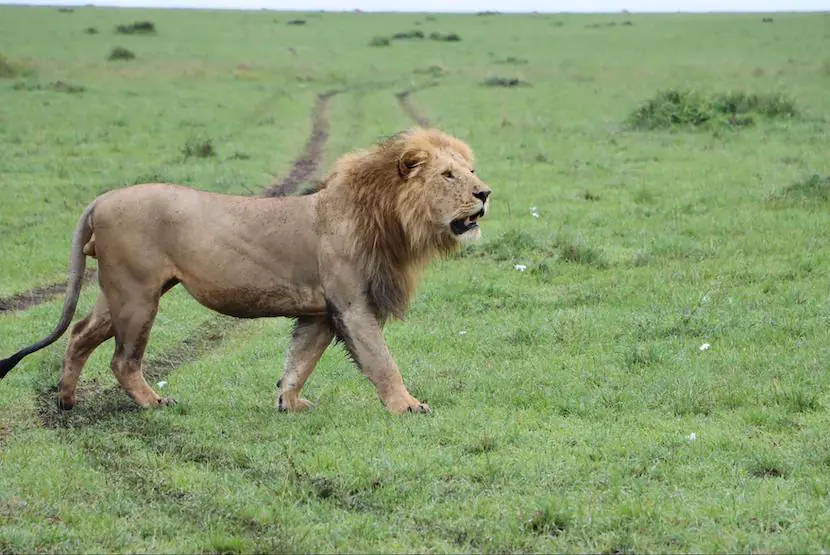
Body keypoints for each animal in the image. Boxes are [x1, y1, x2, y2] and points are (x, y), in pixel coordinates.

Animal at [0, 128, 490, 414]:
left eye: (471, 170)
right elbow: (381, 360)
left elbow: (299, 360)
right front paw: (407, 405)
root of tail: (101, 199)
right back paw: (153, 401)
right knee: (122, 359)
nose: (485, 193)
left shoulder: (319, 313)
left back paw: (66, 400)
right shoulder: (351, 305)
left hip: (119, 292)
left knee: (79, 334)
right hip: (137, 295)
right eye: (448, 176)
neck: (387, 216)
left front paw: (289, 402)